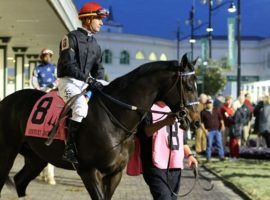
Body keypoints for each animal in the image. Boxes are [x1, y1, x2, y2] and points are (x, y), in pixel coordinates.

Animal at [0, 54, 198, 199]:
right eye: (189, 87)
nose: (195, 121)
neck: (114, 118)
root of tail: (6, 100)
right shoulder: (89, 171)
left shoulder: (115, 173)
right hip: (7, 152)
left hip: (37, 157)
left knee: (20, 180)